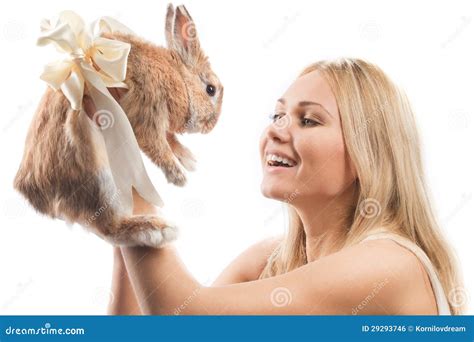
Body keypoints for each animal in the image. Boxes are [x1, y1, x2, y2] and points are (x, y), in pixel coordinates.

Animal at [12, 4, 224, 247]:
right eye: (210, 89)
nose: (211, 126)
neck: (177, 77)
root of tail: (30, 191)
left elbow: (169, 139)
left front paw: (188, 159)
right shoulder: (148, 112)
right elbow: (159, 148)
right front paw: (179, 177)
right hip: (98, 175)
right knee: (108, 228)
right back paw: (157, 230)